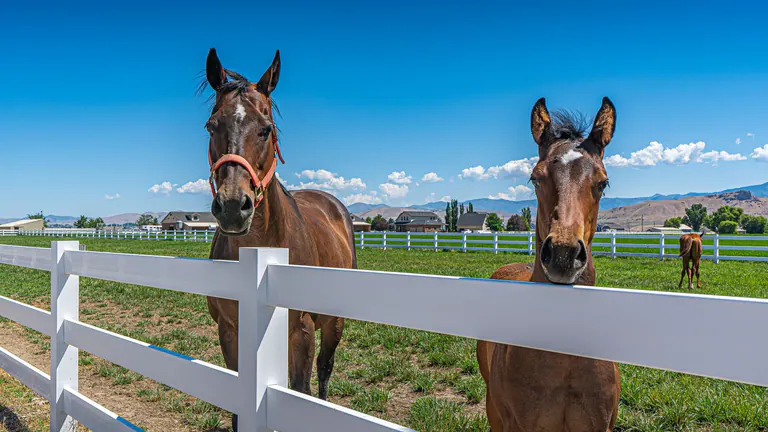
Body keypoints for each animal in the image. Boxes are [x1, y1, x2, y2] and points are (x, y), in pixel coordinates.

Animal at [200, 48, 356, 430]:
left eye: (266, 129)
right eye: (212, 126)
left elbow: (300, 391)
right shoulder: (231, 331)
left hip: (332, 322)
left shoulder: (301, 331)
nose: (232, 205)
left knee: (324, 372)